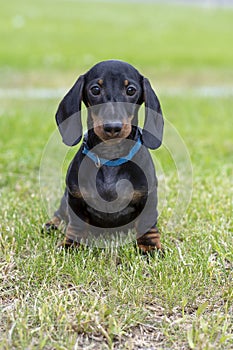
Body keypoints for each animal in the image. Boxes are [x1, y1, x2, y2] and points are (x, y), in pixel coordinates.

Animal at [44, 60, 164, 252]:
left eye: (131, 90)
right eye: (95, 89)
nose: (112, 127)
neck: (110, 158)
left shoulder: (149, 198)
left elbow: (147, 224)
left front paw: (150, 247)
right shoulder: (75, 198)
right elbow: (76, 224)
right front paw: (71, 244)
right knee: (60, 213)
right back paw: (51, 224)